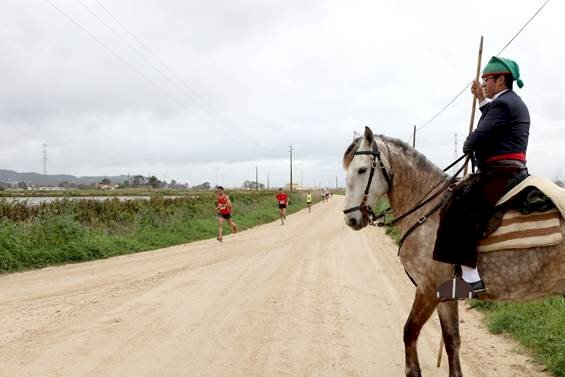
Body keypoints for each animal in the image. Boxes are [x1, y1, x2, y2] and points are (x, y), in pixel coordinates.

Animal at [342, 126, 560, 376]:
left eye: (362, 169)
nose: (350, 218)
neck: (427, 210)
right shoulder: (445, 295)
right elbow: (451, 341)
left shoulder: (427, 289)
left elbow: (409, 332)